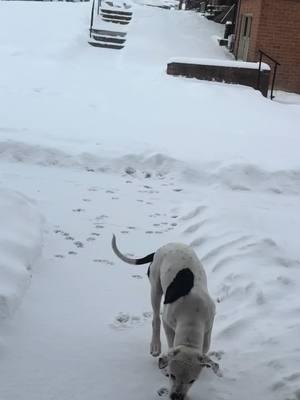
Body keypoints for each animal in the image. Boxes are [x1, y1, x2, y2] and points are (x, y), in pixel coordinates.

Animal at [111, 236, 219, 398]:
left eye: (192, 381)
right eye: (171, 375)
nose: (176, 397)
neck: (192, 317)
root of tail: (160, 249)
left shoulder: (208, 326)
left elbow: (205, 348)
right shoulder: (168, 322)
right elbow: (170, 339)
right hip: (155, 287)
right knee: (155, 318)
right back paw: (155, 346)